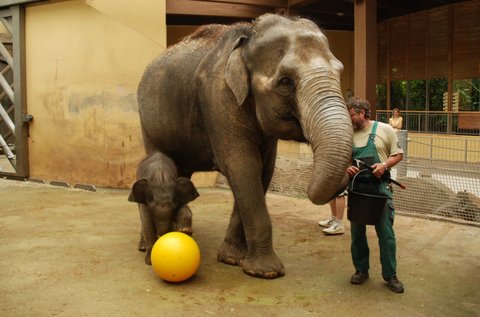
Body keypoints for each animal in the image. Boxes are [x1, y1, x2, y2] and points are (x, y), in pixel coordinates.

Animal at [135, 13, 352, 278]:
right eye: (285, 81)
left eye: (339, 72)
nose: (350, 174)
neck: (249, 36)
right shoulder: (217, 97)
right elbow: (242, 166)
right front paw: (266, 273)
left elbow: (262, 171)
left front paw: (231, 259)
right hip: (148, 125)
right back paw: (149, 244)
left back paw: (184, 231)